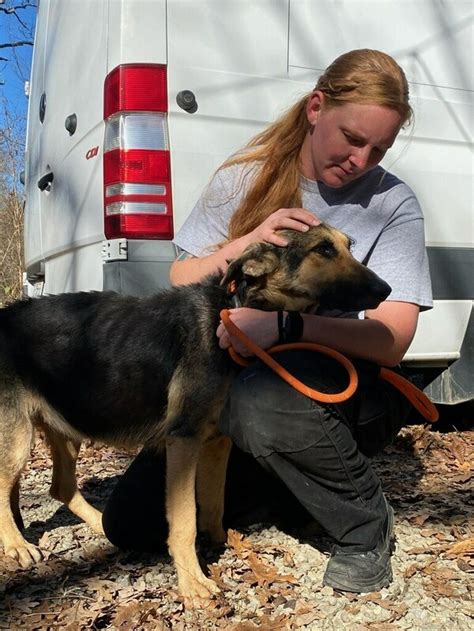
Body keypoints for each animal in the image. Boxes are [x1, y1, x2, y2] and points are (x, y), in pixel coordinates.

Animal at [0, 223, 388, 608]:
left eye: (348, 247)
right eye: (323, 249)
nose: (387, 290)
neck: (234, 311)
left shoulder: (216, 442)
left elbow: (213, 503)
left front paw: (219, 542)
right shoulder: (184, 440)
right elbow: (185, 517)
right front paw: (193, 581)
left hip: (65, 427)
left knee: (61, 486)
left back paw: (98, 525)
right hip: (20, 439)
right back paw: (18, 545)